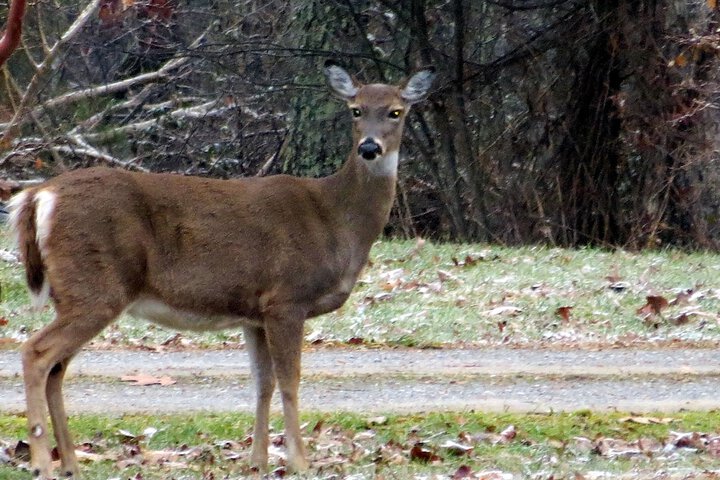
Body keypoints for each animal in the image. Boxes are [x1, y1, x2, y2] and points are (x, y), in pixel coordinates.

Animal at [7, 62, 434, 478]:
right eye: (356, 110)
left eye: (396, 111)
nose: (369, 147)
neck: (335, 220)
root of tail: (38, 195)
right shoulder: (286, 298)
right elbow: (290, 382)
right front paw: (299, 461)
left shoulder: (255, 312)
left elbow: (263, 383)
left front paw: (257, 461)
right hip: (96, 288)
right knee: (36, 353)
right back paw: (42, 462)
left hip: (75, 292)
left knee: (57, 369)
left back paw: (70, 464)